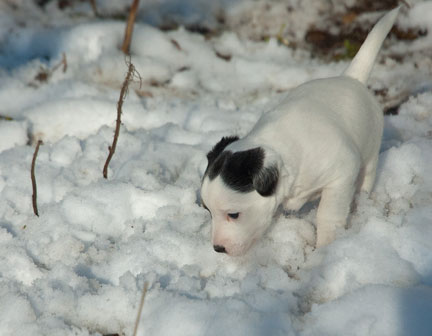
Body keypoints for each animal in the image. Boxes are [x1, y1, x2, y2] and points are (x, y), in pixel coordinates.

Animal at [201, 7, 400, 255]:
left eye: (234, 215)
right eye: (207, 210)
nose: (218, 248)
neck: (279, 148)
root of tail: (351, 78)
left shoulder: (342, 173)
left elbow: (329, 213)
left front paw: (326, 244)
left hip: (370, 153)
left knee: (367, 178)